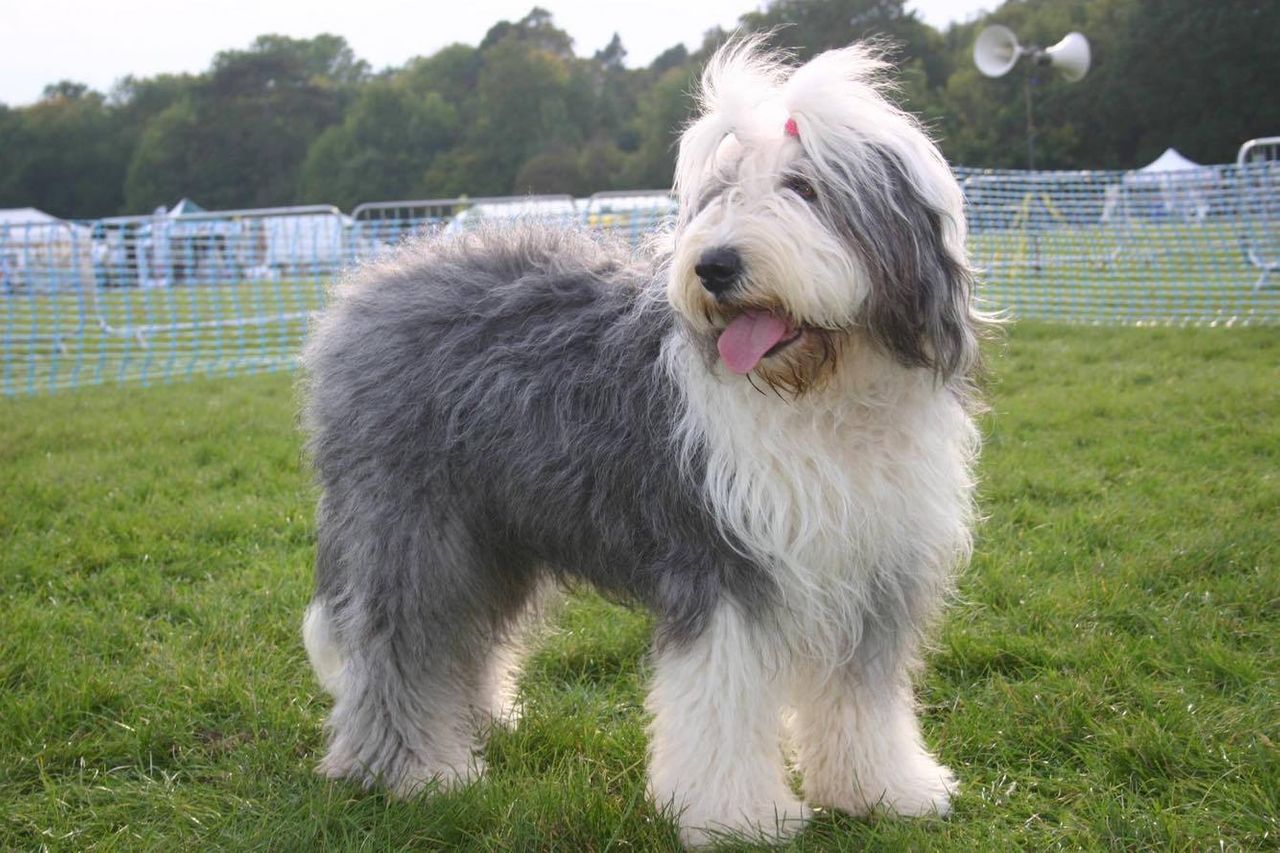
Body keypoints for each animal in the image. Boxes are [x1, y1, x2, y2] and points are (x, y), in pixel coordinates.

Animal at [304, 36, 983, 840]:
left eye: (805, 188)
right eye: (719, 192)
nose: (714, 266)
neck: (822, 392)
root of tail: (374, 283)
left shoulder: (874, 563)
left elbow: (863, 698)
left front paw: (884, 791)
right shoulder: (722, 562)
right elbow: (723, 701)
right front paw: (738, 817)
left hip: (493, 528)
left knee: (463, 635)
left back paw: (480, 722)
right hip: (412, 523)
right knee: (400, 639)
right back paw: (411, 771)